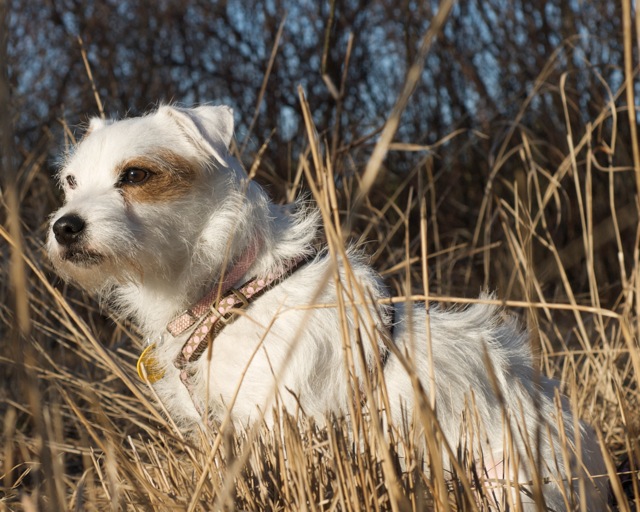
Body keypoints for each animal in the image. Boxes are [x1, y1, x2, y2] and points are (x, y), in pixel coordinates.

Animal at [47, 104, 608, 508]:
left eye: (135, 176)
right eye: (71, 182)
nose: (64, 226)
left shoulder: (279, 422)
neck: (237, 292)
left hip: (504, 482)